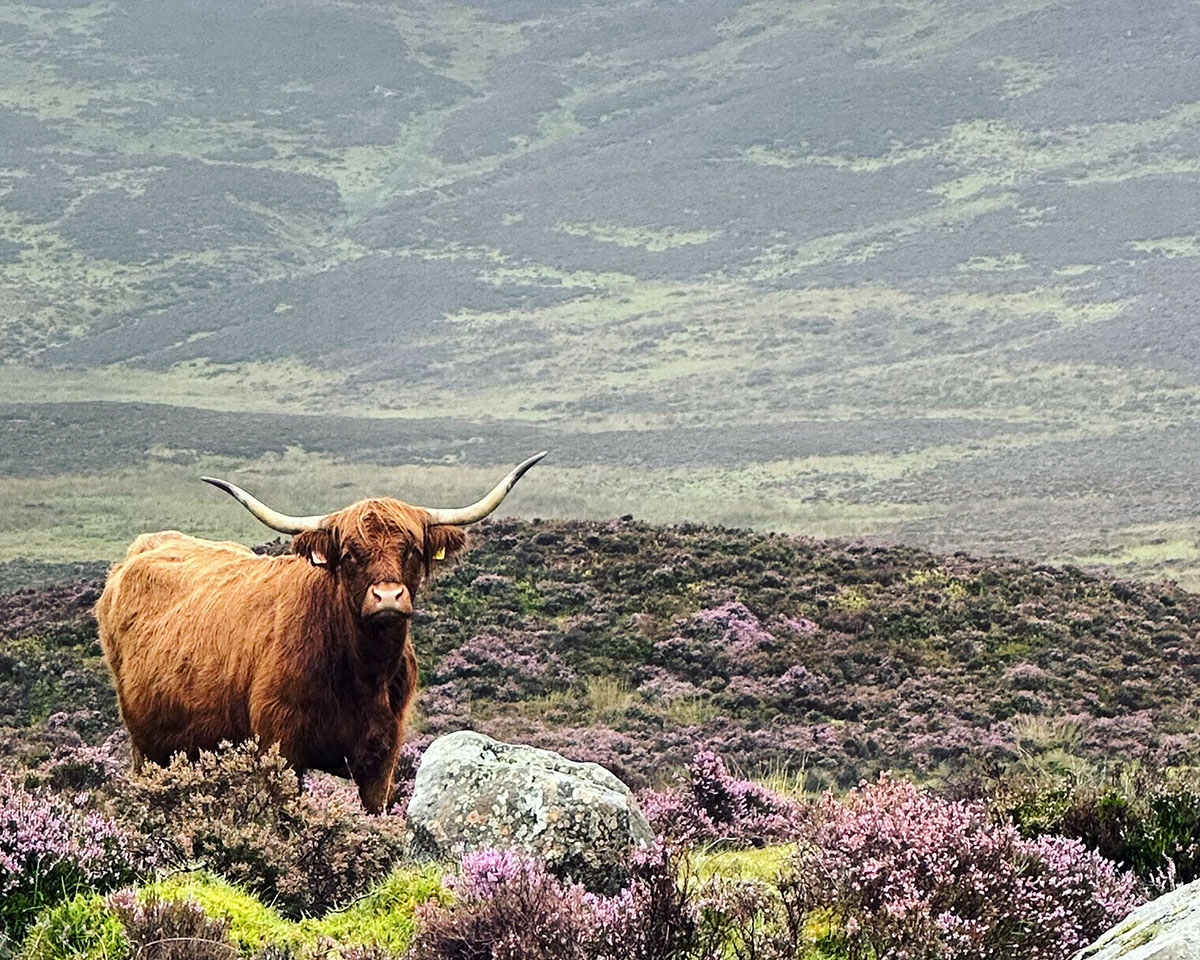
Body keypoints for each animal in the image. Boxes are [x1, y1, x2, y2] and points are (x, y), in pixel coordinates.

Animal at [95, 453, 545, 813]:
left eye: (413, 550)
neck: (362, 675)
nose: (387, 597)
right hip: (147, 749)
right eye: (348, 554)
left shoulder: (382, 758)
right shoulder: (279, 749)